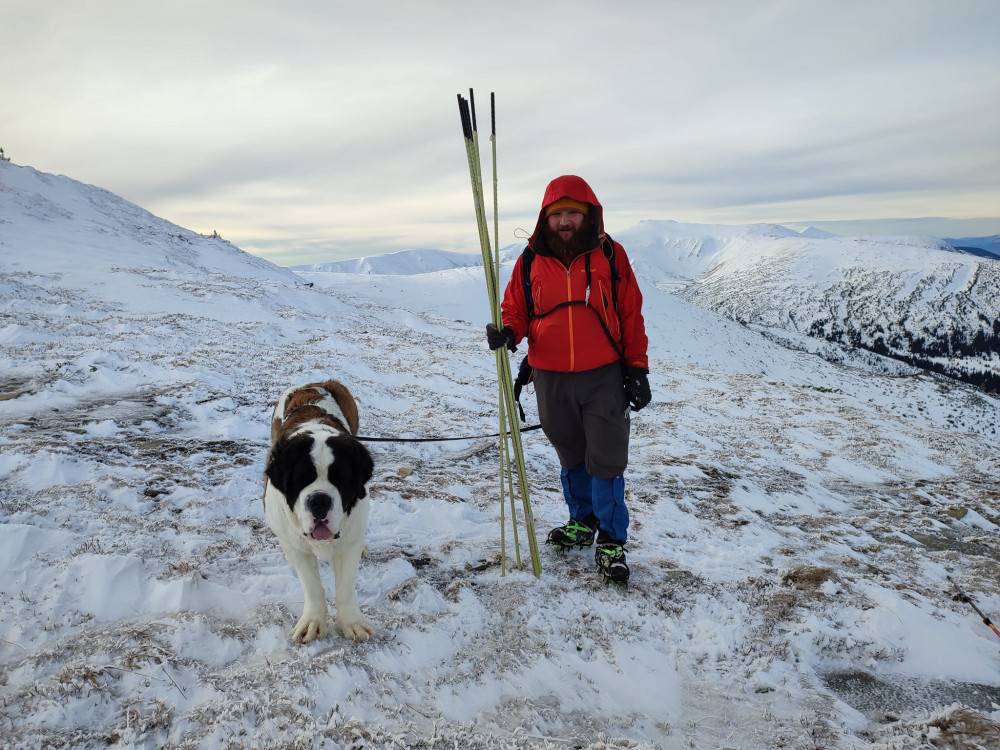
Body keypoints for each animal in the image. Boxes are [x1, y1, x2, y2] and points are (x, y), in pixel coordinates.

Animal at [262, 382, 376, 648]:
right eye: (301, 479)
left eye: (340, 479)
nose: (320, 500)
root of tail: (317, 383)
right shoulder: (296, 546)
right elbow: (312, 585)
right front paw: (313, 622)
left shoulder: (349, 543)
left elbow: (345, 586)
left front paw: (351, 622)